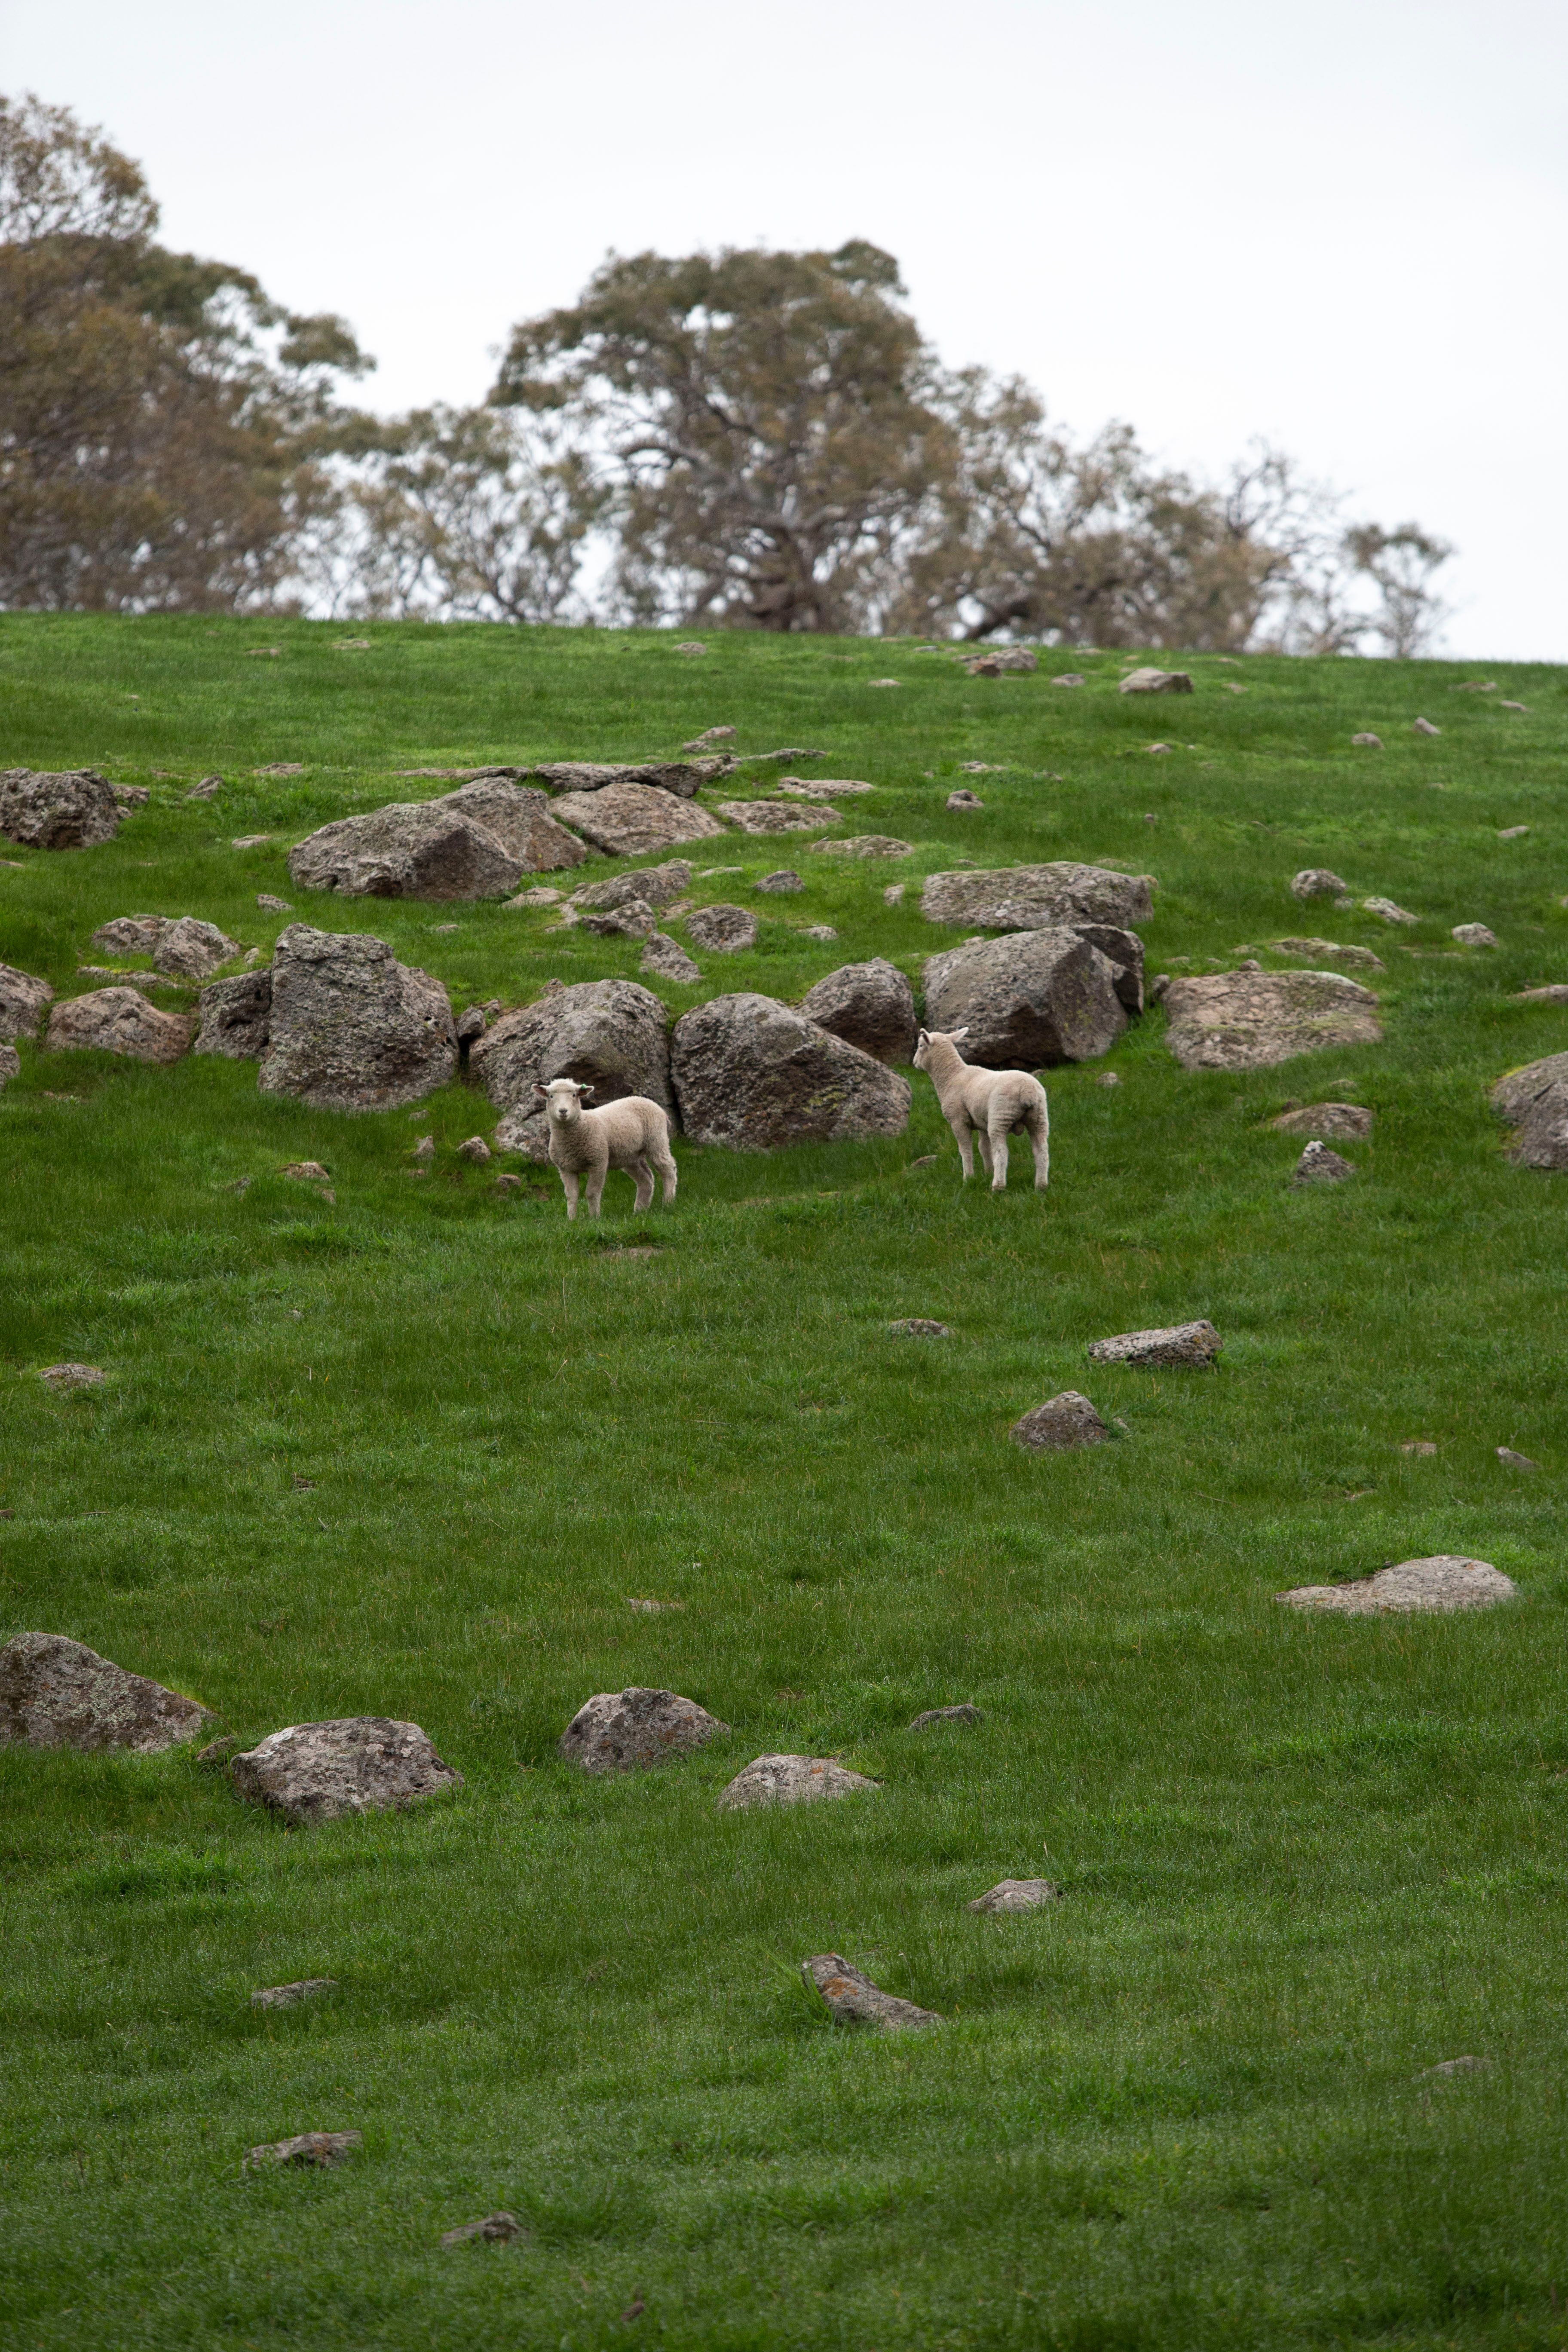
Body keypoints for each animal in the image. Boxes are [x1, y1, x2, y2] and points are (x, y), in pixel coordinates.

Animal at [533, 1076, 678, 1220]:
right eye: (551, 1096)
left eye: (574, 1095)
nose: (563, 1111)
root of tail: (647, 1100)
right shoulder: (566, 1169)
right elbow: (571, 1196)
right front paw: (572, 1220)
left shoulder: (598, 1162)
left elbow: (592, 1192)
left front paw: (594, 1218)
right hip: (631, 1156)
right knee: (646, 1179)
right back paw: (640, 1210)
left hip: (657, 1139)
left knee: (668, 1169)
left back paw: (668, 1202)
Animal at [912, 1026, 1049, 1191]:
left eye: (920, 1046)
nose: (914, 1063)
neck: (951, 1076)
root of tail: (1028, 1090)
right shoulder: (982, 1123)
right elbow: (984, 1148)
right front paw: (988, 1172)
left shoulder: (958, 1119)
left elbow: (966, 1150)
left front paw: (968, 1178)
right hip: (1039, 1116)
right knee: (1042, 1151)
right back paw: (1041, 1186)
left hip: (1001, 1116)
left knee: (1001, 1152)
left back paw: (998, 1186)